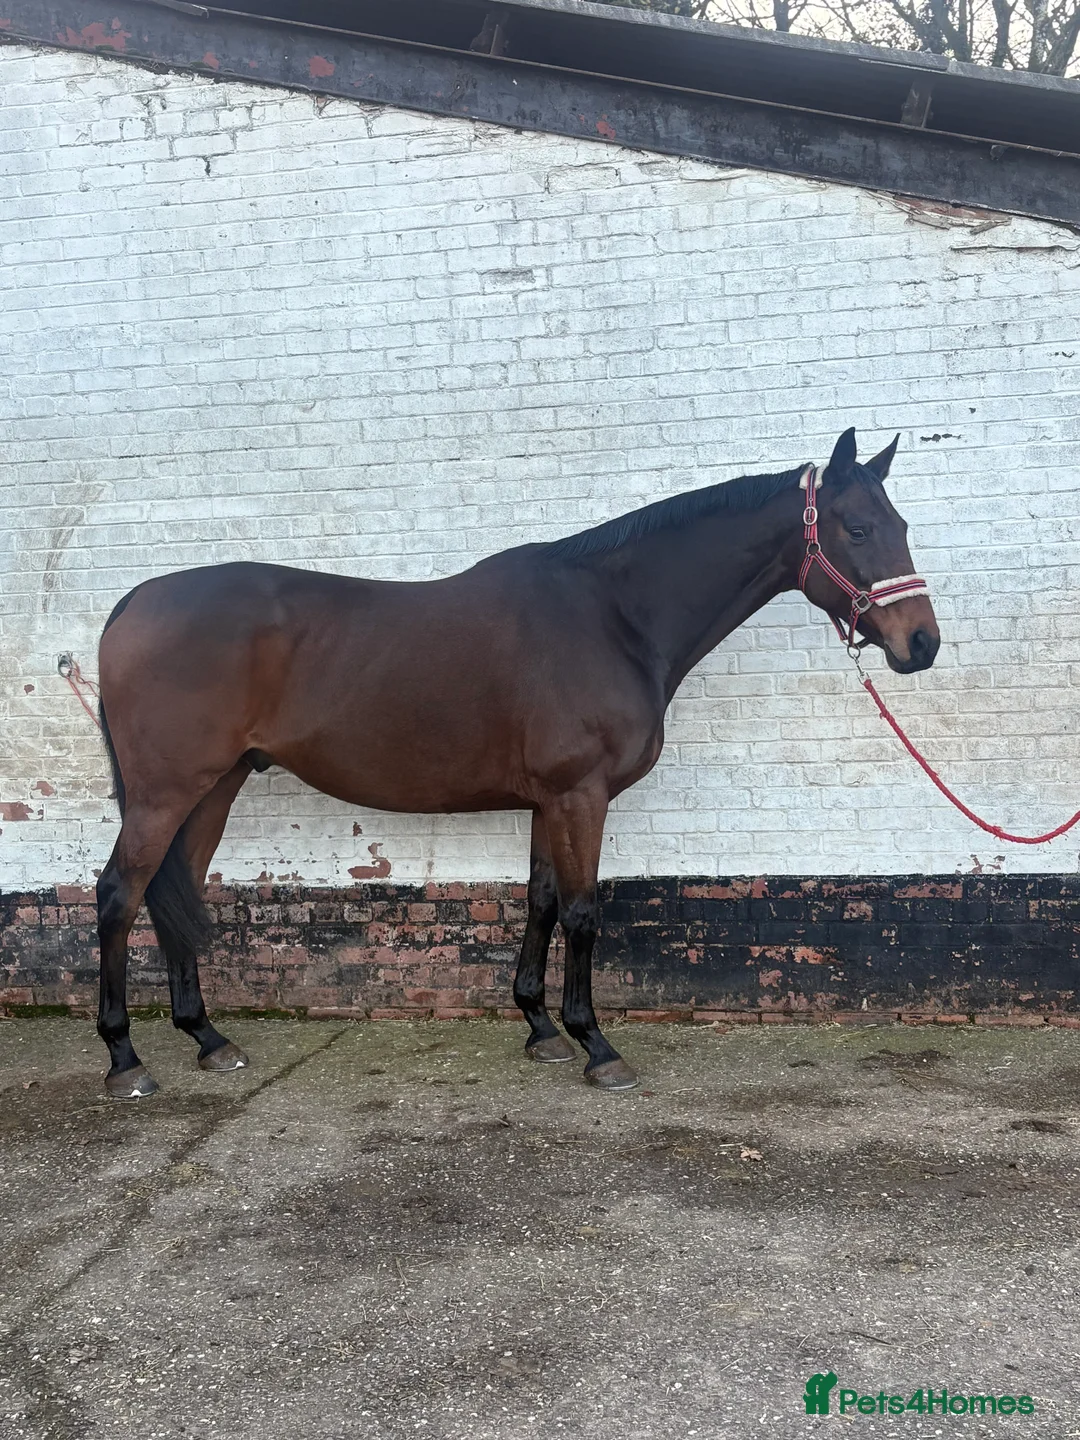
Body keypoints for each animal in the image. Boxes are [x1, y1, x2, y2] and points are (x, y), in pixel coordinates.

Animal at [94, 427, 939, 1097]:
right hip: (166, 793)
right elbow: (584, 911)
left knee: (174, 893)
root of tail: (132, 601)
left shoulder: (547, 800)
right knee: (118, 896)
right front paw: (596, 1045)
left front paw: (539, 1029)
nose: (921, 643)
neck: (612, 616)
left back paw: (208, 1038)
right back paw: (125, 1060)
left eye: (900, 521)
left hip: (215, 786)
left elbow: (540, 901)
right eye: (858, 526)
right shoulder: (581, 795)